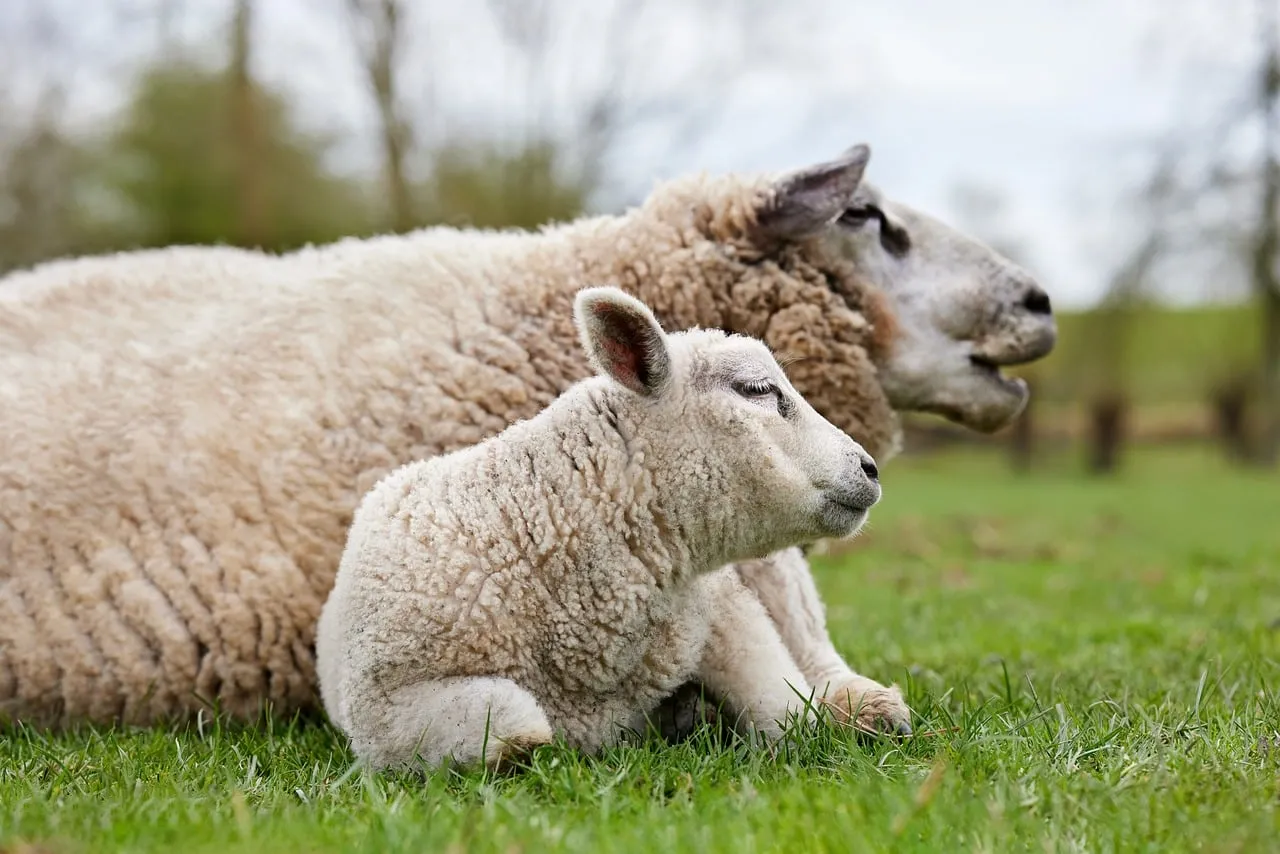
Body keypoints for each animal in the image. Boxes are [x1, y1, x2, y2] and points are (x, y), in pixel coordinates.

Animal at [316, 286, 885, 771]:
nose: (870, 468)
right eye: (757, 390)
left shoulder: (720, 608)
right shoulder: (387, 710)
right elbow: (514, 727)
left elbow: (783, 701)